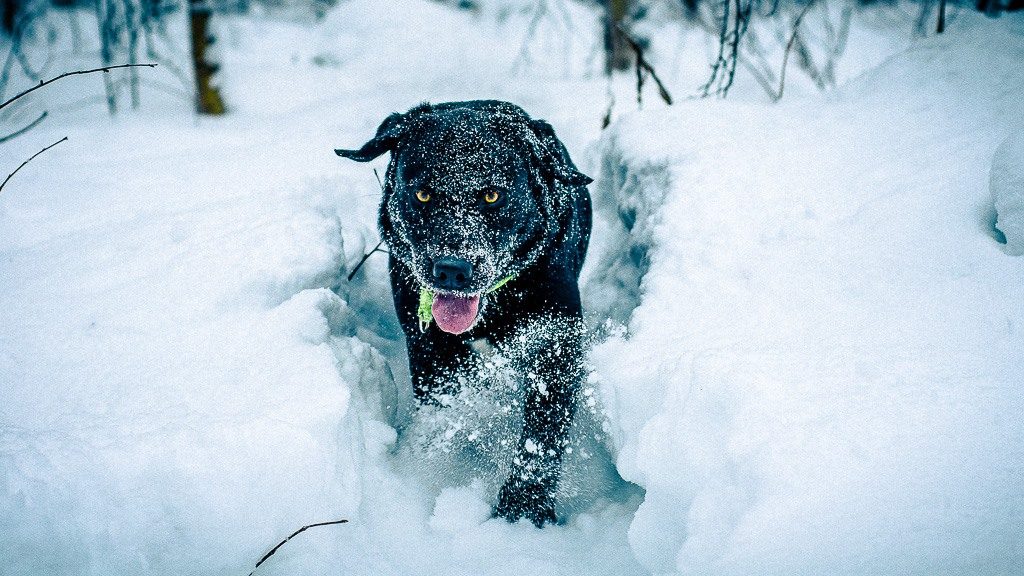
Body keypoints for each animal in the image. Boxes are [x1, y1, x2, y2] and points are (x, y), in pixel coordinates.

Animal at [335, 99, 593, 524]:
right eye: (423, 194)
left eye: (491, 196)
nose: (452, 269)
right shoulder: (429, 352)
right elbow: (448, 413)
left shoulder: (554, 344)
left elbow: (541, 437)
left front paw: (524, 507)